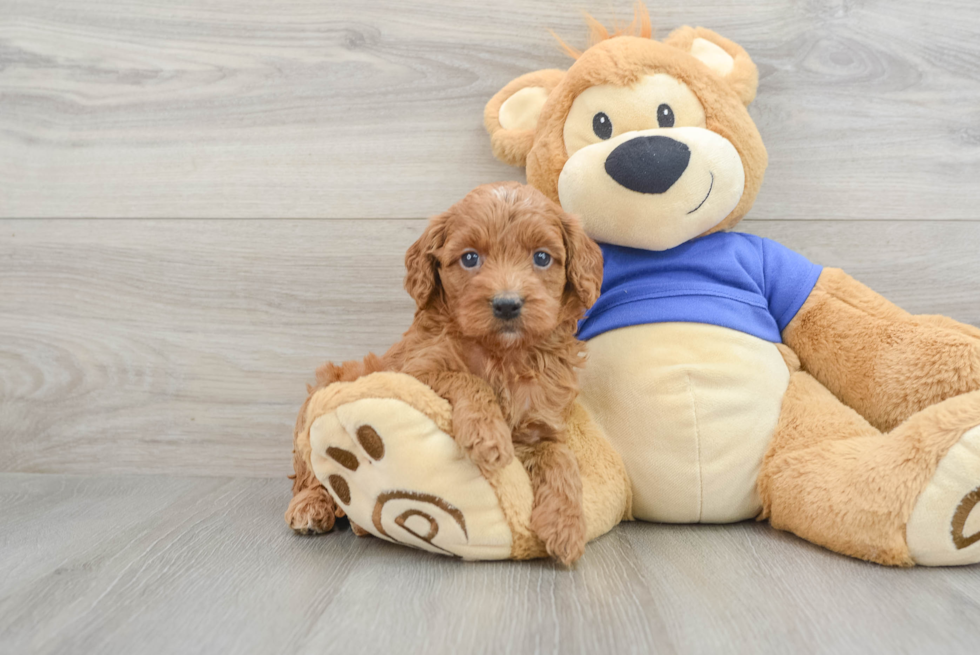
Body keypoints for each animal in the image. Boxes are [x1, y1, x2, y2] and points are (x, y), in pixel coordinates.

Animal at [286, 182, 604, 568]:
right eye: (469, 258)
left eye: (542, 258)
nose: (507, 304)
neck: (504, 355)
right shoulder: (413, 371)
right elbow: (468, 379)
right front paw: (487, 435)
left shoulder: (541, 426)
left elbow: (561, 458)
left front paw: (567, 526)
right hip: (321, 394)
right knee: (309, 472)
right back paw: (311, 507)